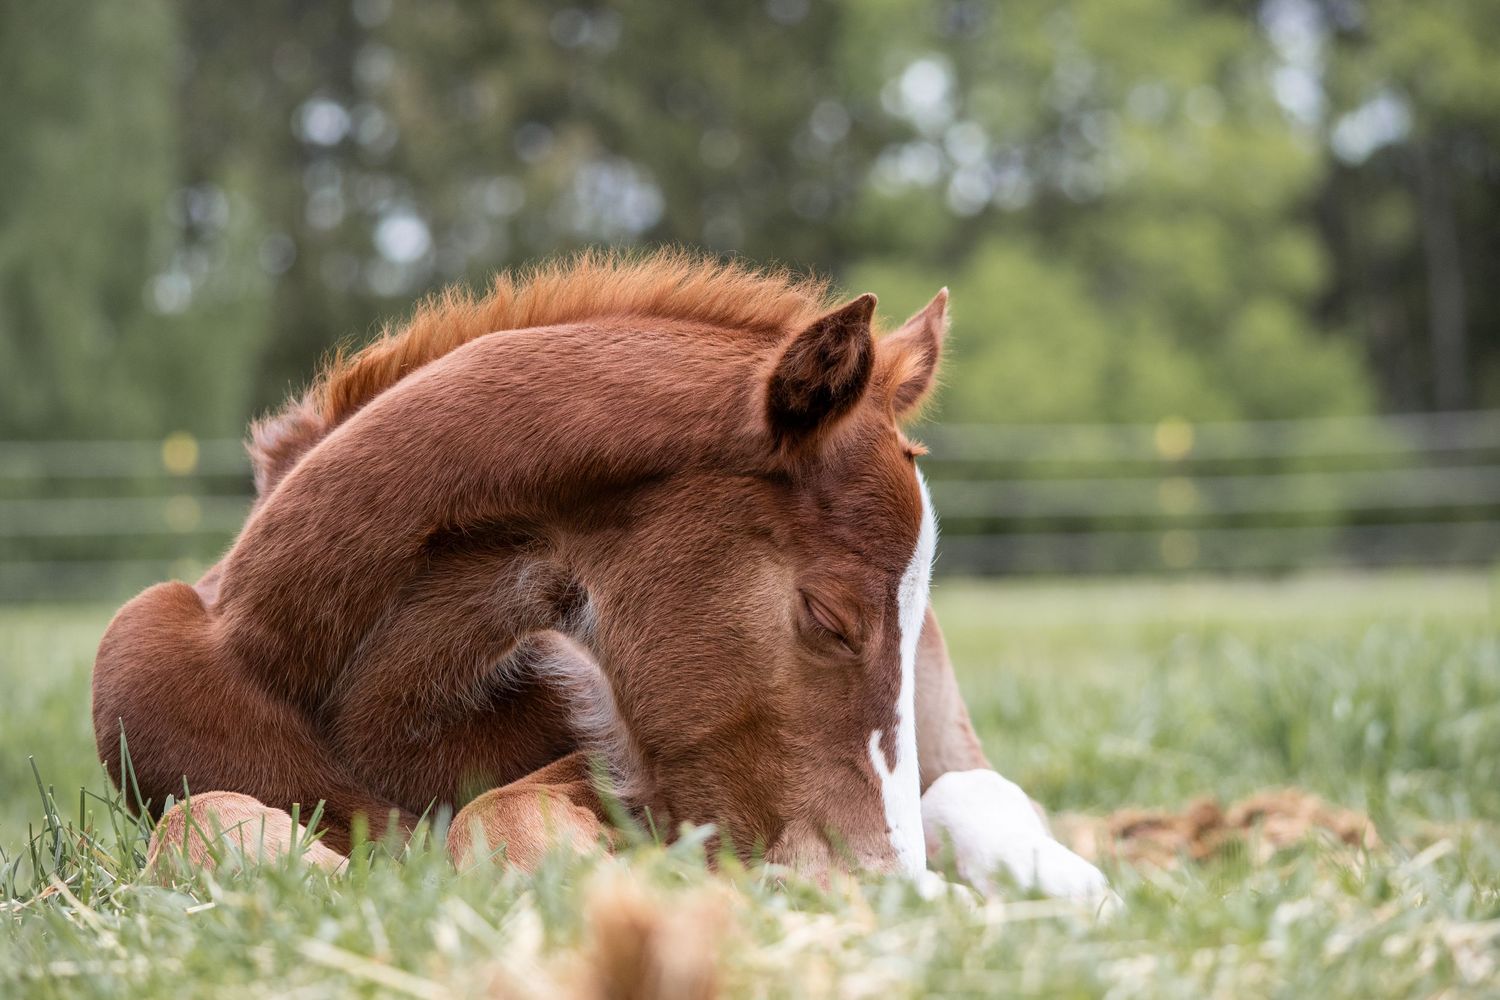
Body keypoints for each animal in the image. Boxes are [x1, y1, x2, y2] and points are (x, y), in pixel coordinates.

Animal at [93, 250, 1107, 900]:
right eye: (826, 616)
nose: (879, 883)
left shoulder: (633, 776)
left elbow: (496, 814)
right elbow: (194, 823)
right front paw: (310, 872)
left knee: (979, 795)